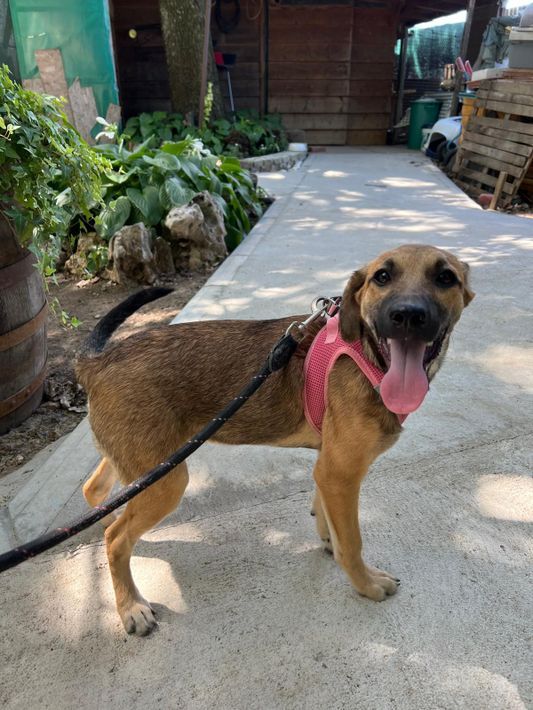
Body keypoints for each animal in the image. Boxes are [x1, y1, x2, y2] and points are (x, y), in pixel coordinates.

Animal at [76, 244, 474, 636]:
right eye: (382, 276)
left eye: (445, 277)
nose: (408, 315)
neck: (366, 354)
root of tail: (98, 362)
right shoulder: (341, 474)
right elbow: (352, 543)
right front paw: (366, 584)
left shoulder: (327, 468)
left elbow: (325, 513)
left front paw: (327, 538)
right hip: (167, 480)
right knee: (116, 539)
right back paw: (131, 606)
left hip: (146, 462)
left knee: (97, 492)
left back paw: (110, 524)